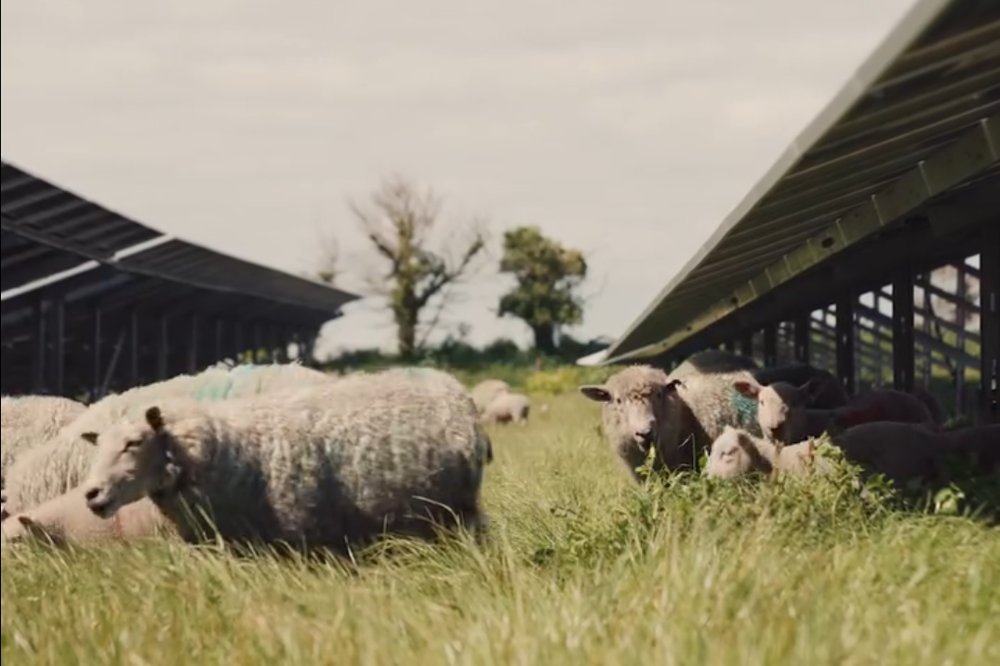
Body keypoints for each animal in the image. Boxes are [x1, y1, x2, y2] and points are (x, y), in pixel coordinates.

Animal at [79, 367, 492, 554]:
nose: (91, 494)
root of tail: (455, 391)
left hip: (459, 511)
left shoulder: (305, 539)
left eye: (133, 442)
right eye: (97, 448)